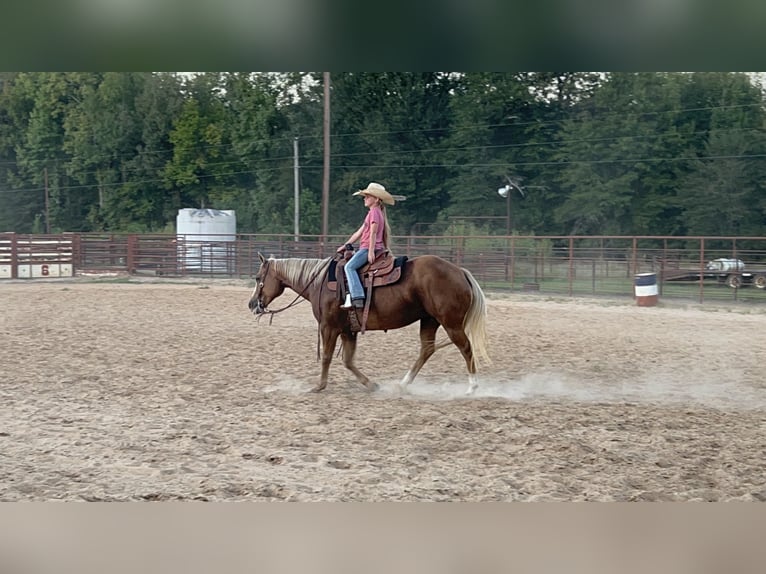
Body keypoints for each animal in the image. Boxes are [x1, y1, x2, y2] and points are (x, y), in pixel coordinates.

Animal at [252, 253, 492, 396]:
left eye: (257, 278)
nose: (251, 303)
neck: (319, 282)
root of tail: (460, 271)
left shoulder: (329, 327)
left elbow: (328, 357)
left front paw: (319, 386)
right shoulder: (348, 330)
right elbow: (348, 361)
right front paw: (372, 385)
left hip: (451, 323)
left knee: (465, 348)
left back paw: (472, 387)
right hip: (429, 320)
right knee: (427, 350)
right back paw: (403, 384)